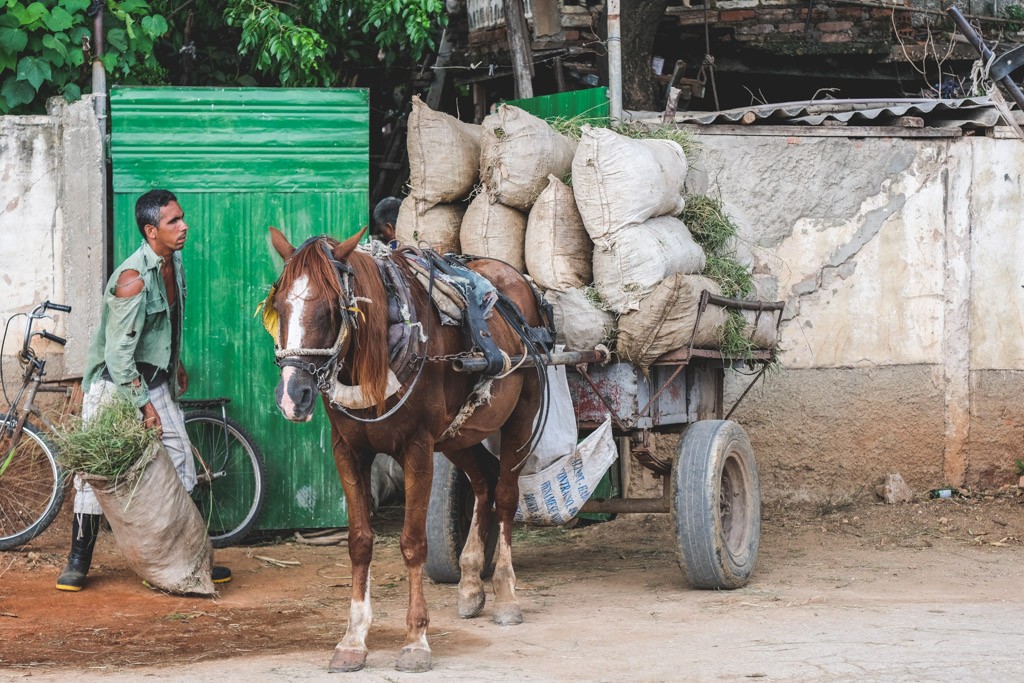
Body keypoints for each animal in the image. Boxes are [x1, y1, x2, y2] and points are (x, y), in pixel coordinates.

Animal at [268, 228, 548, 671]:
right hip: (458, 434)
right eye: (278, 305)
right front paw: (352, 640)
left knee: (505, 494)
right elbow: (359, 542)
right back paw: (471, 583)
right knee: (483, 481)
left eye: (331, 309)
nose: (292, 397)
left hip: (521, 413)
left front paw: (416, 640)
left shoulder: (417, 449)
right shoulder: (347, 451)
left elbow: (413, 543)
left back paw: (505, 595)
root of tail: (513, 277)